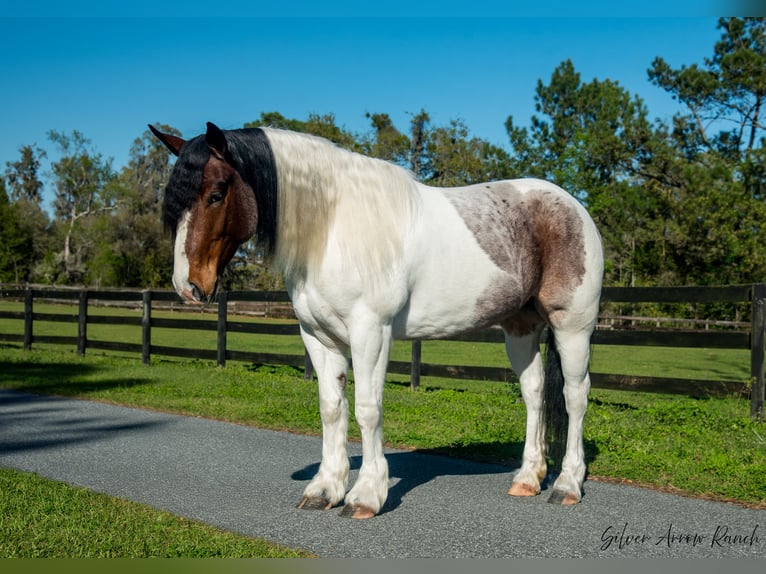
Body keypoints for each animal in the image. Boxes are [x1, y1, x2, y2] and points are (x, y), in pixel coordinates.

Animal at [150, 121, 608, 520]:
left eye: (216, 193)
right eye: (174, 201)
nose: (188, 285)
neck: (331, 228)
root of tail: (573, 206)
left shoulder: (370, 331)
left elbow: (368, 409)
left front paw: (366, 495)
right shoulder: (319, 337)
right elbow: (331, 408)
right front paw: (324, 489)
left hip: (572, 326)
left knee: (574, 395)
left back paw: (567, 484)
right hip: (520, 328)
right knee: (534, 393)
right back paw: (528, 478)